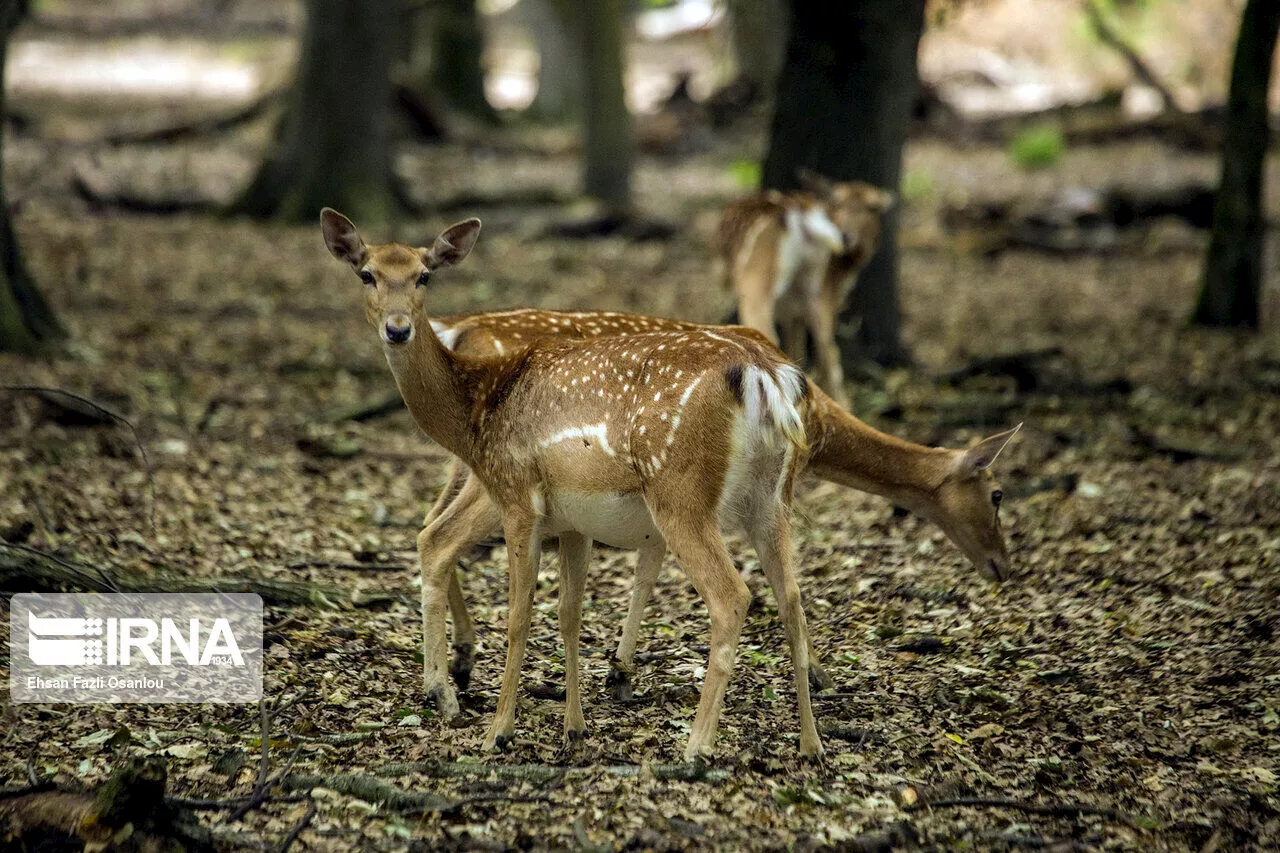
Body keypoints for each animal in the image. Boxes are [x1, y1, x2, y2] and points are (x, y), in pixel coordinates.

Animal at [320, 206, 824, 758]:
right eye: (366, 274)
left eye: (423, 275)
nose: (398, 329)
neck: (480, 407)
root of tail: (767, 378)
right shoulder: (574, 521)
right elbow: (569, 614)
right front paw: (574, 728)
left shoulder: (516, 492)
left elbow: (519, 616)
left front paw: (499, 731)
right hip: (773, 496)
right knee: (793, 600)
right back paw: (810, 745)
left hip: (680, 490)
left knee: (732, 596)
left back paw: (695, 747)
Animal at [404, 306, 1013, 701]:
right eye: (997, 493)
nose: (1004, 567)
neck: (821, 432)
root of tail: (456, 332)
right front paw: (818, 673)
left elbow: (649, 567)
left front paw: (620, 670)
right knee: (438, 532)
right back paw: (447, 677)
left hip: (477, 467)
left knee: (431, 525)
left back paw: (460, 663)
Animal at [716, 170, 896, 409]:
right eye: (837, 203)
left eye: (873, 208)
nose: (846, 236)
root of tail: (800, 219)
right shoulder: (800, 306)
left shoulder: (794, 308)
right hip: (783, 286)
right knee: (825, 350)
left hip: (764, 283)